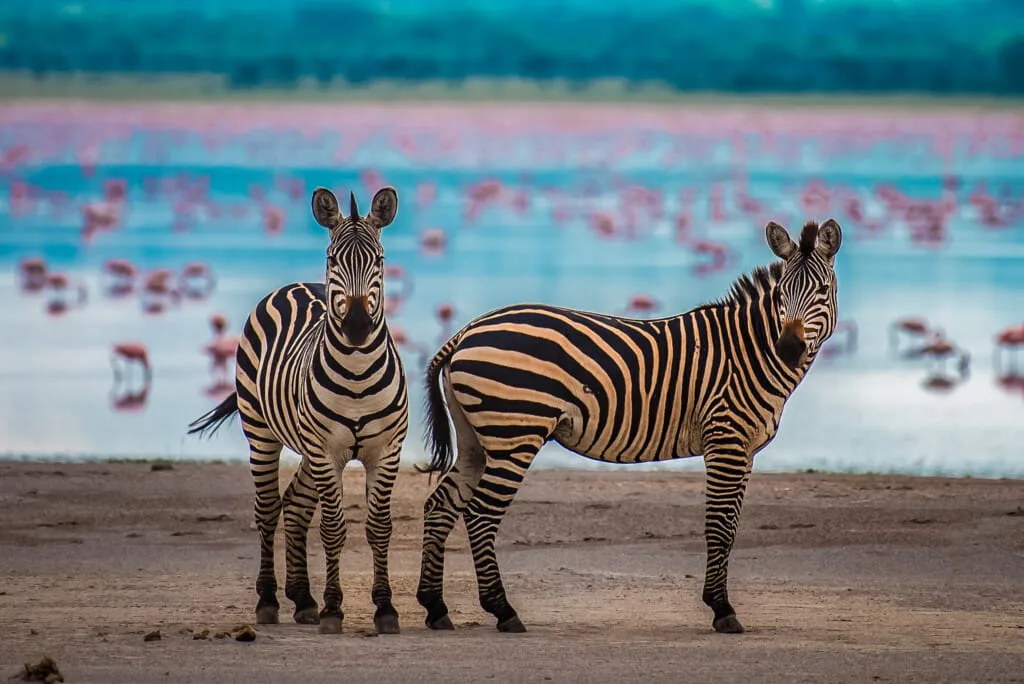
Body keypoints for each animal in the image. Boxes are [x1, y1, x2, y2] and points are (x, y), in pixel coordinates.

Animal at [187, 186, 409, 635]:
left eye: (379, 260)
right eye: (333, 259)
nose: (357, 326)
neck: (357, 372)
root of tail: (297, 285)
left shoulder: (386, 450)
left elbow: (379, 528)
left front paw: (384, 609)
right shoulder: (326, 450)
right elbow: (333, 528)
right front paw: (334, 610)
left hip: (308, 448)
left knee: (296, 504)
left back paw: (303, 598)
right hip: (262, 434)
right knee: (268, 508)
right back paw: (269, 599)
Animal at [415, 218, 843, 635]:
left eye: (822, 290)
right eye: (782, 293)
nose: (788, 349)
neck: (749, 352)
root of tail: (466, 331)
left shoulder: (745, 450)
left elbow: (732, 526)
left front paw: (719, 603)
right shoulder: (726, 441)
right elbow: (720, 526)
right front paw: (722, 609)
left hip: (477, 440)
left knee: (440, 506)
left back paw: (436, 607)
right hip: (514, 435)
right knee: (480, 514)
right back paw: (503, 610)